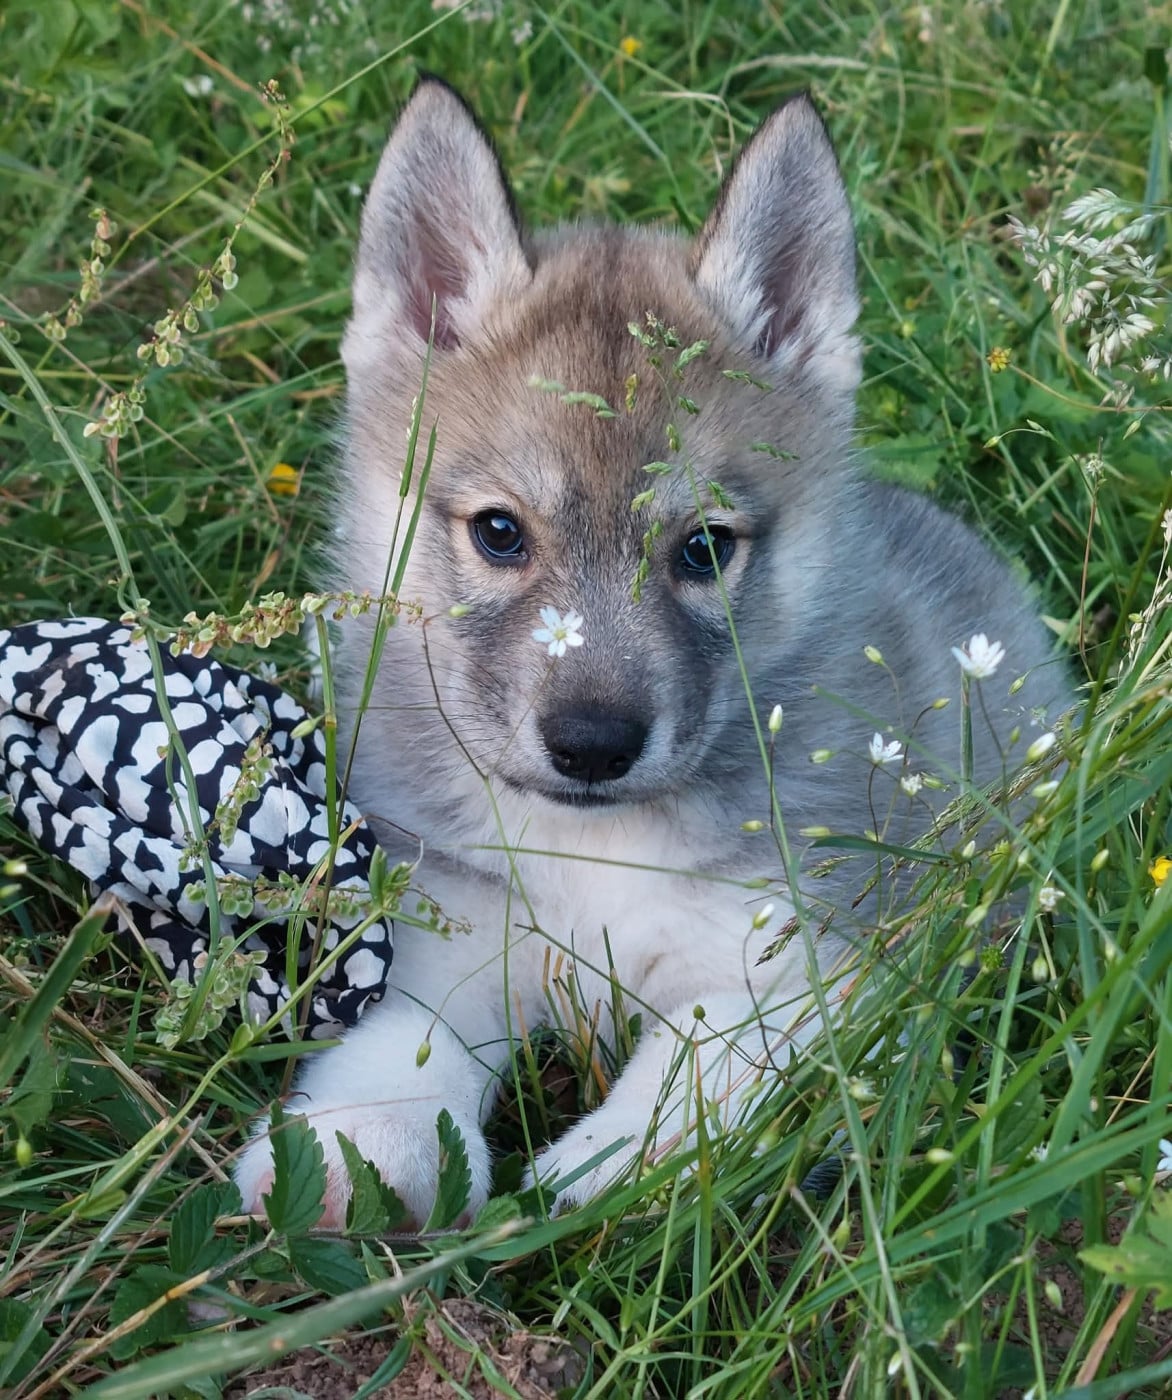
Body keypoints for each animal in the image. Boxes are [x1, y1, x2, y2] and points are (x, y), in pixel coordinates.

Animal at [234, 78, 1066, 1225]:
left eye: (704, 547)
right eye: (501, 532)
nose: (591, 743)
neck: (594, 854)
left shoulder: (808, 962)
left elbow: (699, 1066)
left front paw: (611, 1165)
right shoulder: (443, 928)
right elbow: (405, 1046)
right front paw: (364, 1148)